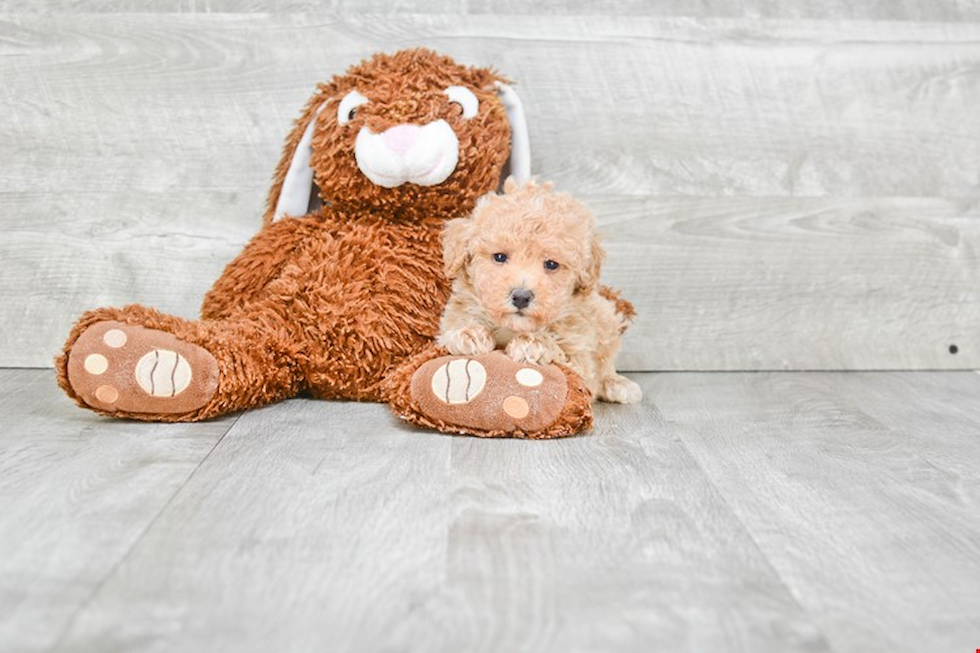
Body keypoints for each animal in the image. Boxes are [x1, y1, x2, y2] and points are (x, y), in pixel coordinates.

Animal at [438, 178, 644, 402]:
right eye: (499, 257)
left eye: (552, 264)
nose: (521, 297)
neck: (513, 328)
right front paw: (469, 334)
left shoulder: (581, 361)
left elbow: (565, 357)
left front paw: (533, 343)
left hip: (607, 320)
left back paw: (617, 383)